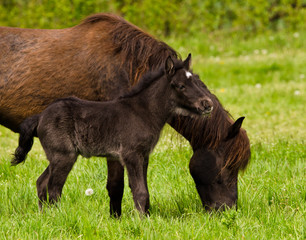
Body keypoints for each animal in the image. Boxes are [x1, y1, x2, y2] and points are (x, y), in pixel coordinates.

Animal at [11, 55, 213, 215]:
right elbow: (140, 190)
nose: (207, 104)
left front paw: (146, 217)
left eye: (197, 81)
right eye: (180, 86)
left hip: (58, 156)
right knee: (54, 188)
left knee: (41, 182)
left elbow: (144, 189)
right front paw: (141, 221)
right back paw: (57, 218)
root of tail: (40, 116)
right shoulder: (131, 155)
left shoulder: (144, 156)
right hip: (63, 156)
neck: (144, 111)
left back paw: (43, 216)